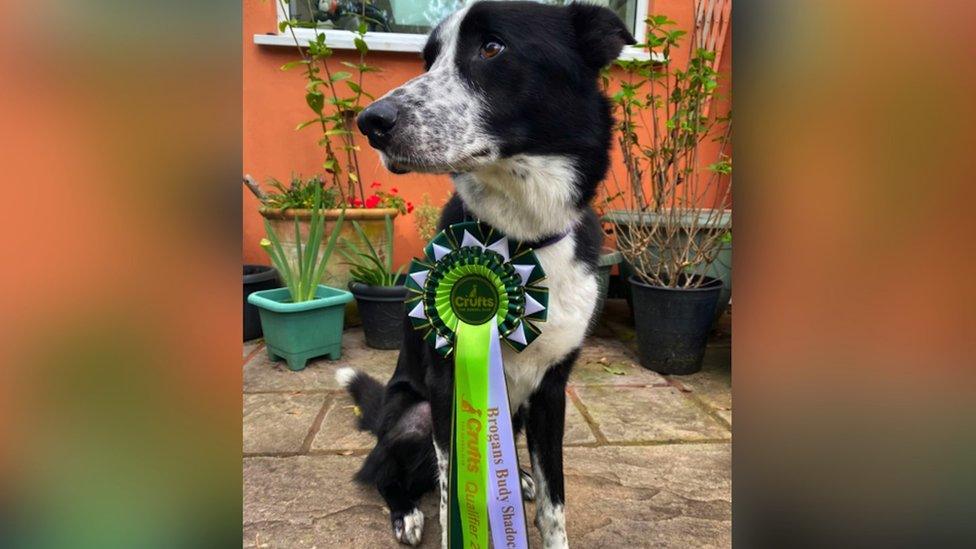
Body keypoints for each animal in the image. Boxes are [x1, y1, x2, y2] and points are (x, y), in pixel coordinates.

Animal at [336, 2, 636, 544]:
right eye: (428, 60)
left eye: (492, 47)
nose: (371, 122)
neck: (522, 239)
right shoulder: (446, 387)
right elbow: (452, 491)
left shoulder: (551, 390)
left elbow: (555, 501)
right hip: (412, 417)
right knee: (381, 472)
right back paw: (405, 512)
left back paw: (519, 478)